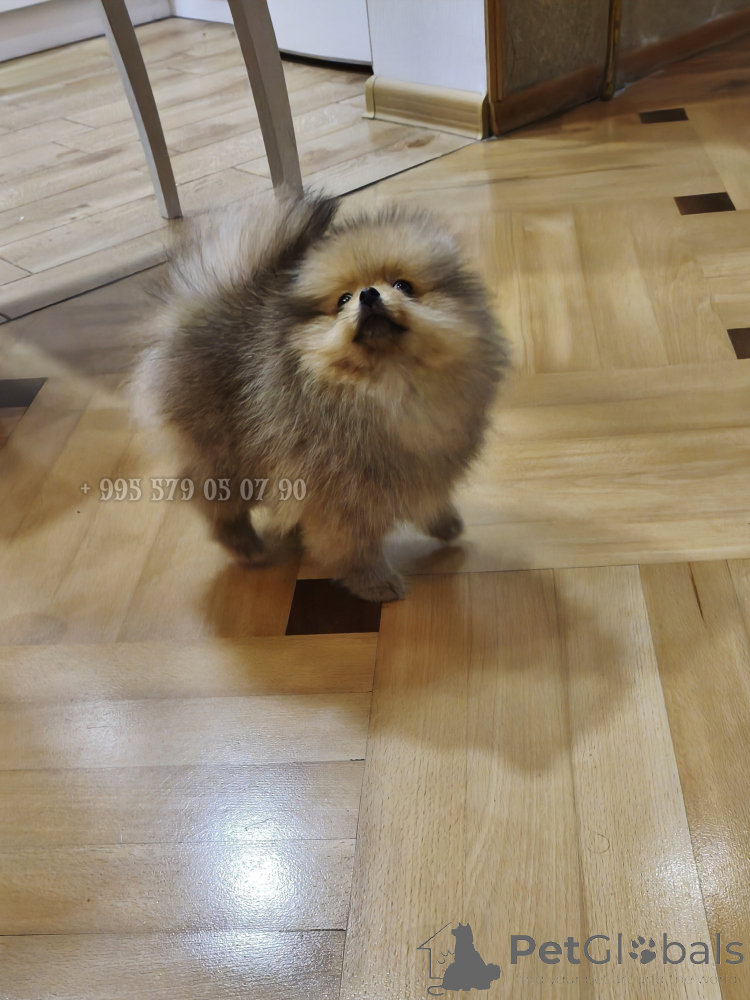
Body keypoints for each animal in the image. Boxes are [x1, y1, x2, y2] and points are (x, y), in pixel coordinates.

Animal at [133, 190, 508, 602]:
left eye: (404, 286)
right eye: (343, 299)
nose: (369, 294)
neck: (389, 384)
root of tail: (206, 300)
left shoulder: (426, 460)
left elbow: (429, 495)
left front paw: (443, 522)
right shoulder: (338, 488)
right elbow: (350, 542)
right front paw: (374, 580)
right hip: (223, 455)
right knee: (215, 502)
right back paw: (246, 546)